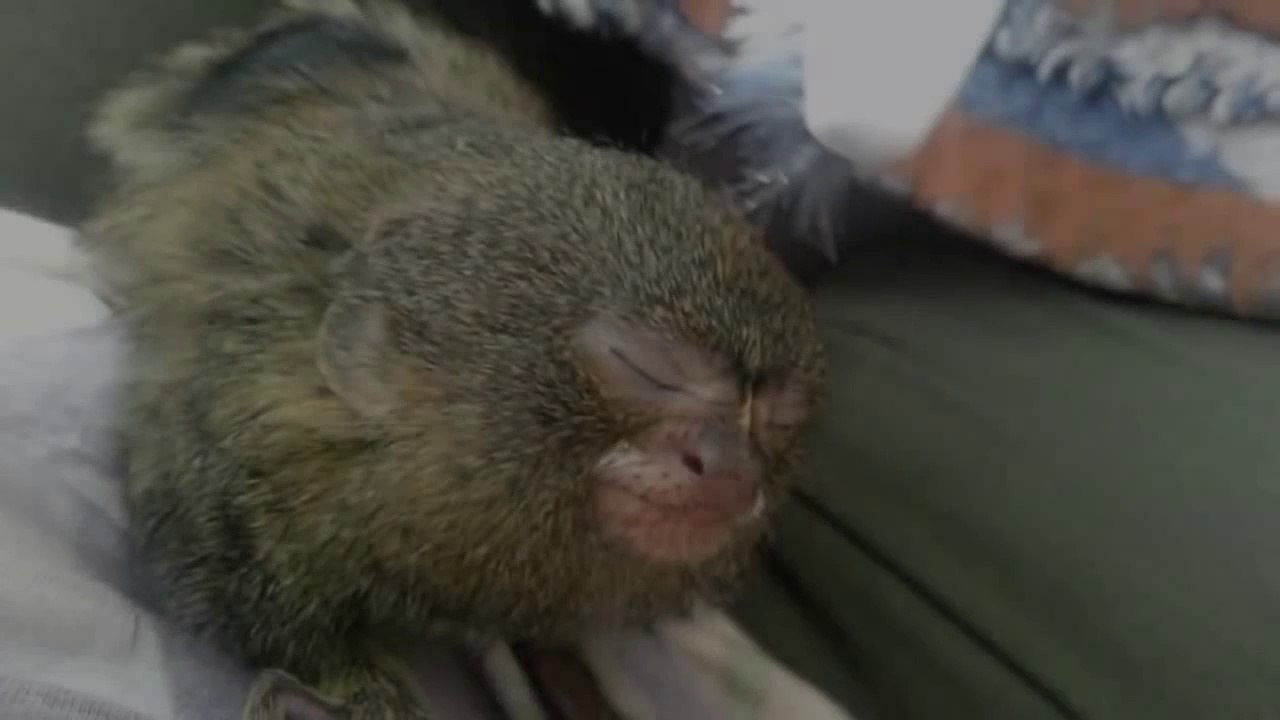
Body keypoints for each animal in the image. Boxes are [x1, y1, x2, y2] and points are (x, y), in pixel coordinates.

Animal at [78, 0, 826, 718]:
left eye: (775, 421)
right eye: (649, 370)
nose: (727, 467)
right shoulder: (246, 445)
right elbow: (228, 595)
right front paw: (351, 695)